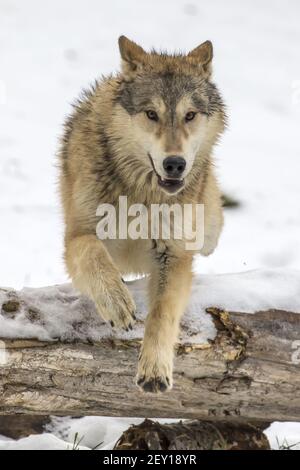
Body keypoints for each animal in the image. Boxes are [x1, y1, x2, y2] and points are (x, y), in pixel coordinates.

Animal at [58, 35, 225, 392]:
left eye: (190, 115)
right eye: (151, 114)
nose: (174, 164)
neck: (143, 195)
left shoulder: (174, 255)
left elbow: (162, 314)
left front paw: (155, 369)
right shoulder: (78, 236)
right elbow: (93, 253)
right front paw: (116, 302)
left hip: (209, 227)